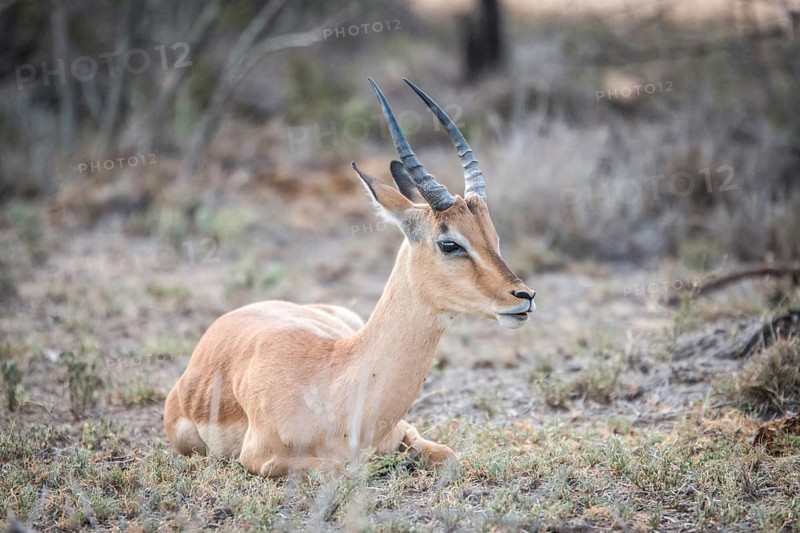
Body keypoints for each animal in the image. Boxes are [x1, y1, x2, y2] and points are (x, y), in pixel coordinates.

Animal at [163, 78, 536, 477]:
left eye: (493, 237)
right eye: (450, 243)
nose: (524, 296)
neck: (333, 389)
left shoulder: (407, 431)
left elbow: (448, 455)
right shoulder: (262, 458)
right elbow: (347, 469)